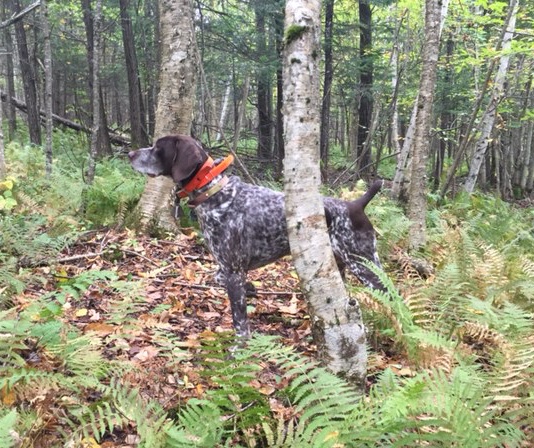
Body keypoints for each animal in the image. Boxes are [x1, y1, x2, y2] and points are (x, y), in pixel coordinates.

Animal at [130, 135, 386, 338]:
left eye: (157, 147)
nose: (130, 153)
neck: (214, 193)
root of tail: (356, 204)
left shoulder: (233, 270)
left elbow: (240, 322)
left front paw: (238, 350)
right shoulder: (228, 269)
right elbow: (220, 278)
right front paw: (252, 288)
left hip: (365, 265)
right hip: (340, 267)